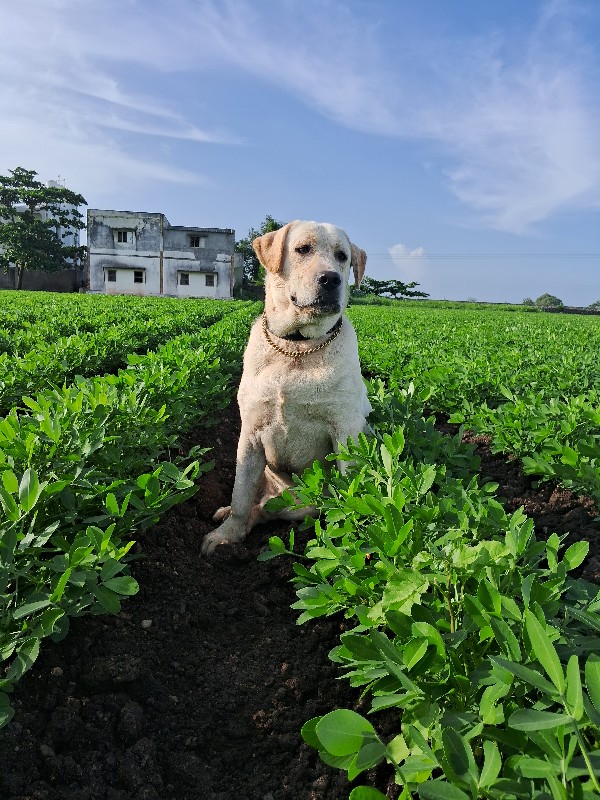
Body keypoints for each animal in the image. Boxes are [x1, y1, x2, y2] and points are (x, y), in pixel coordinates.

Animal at [202, 219, 370, 556]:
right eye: (302, 249)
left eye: (342, 257)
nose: (331, 279)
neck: (297, 348)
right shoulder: (250, 433)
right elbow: (240, 495)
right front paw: (226, 534)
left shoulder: (344, 431)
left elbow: (350, 489)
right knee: (250, 502)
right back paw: (227, 517)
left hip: (303, 502)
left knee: (264, 511)